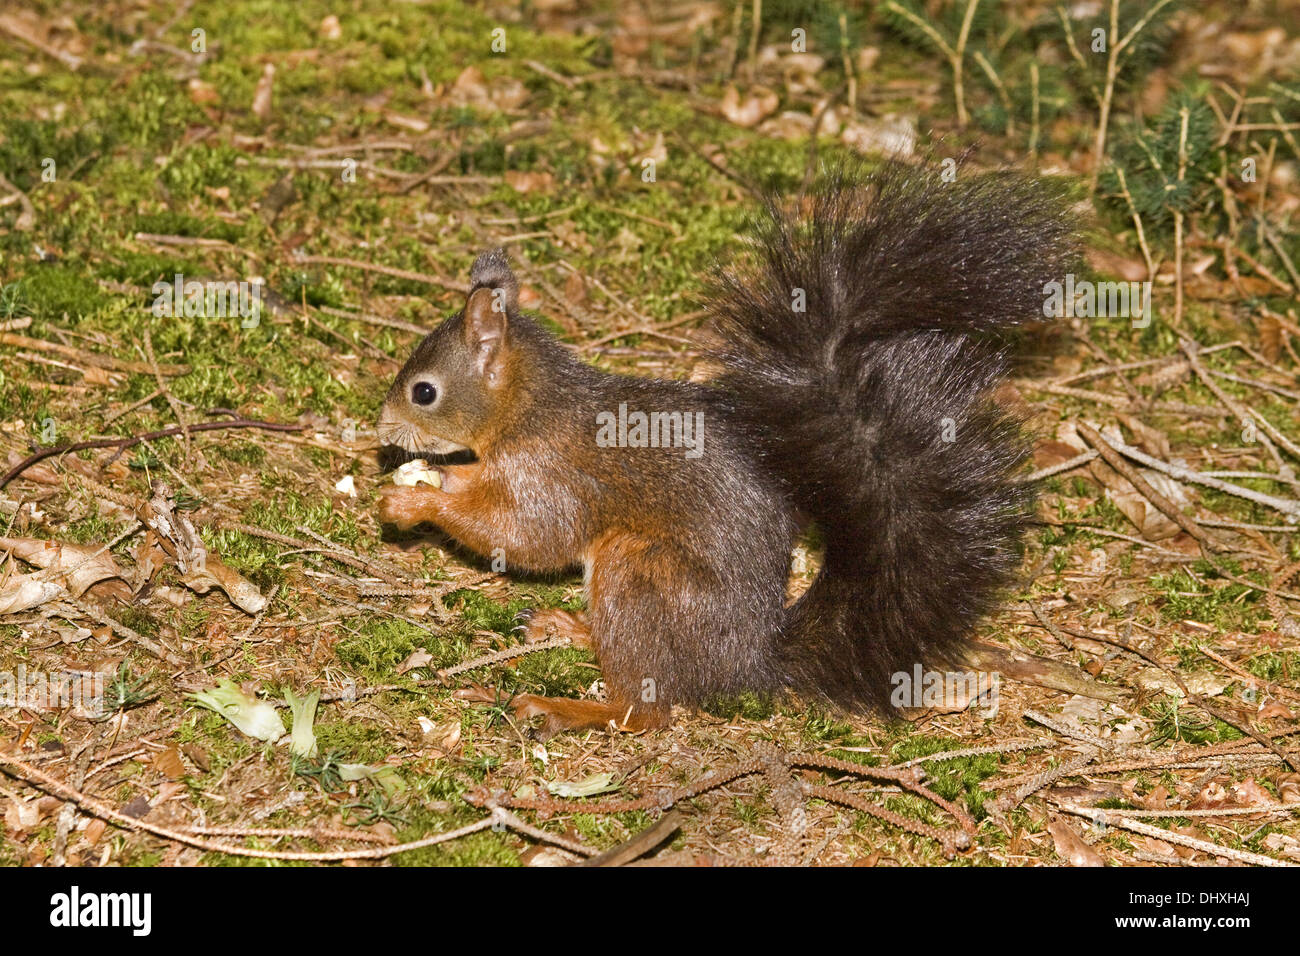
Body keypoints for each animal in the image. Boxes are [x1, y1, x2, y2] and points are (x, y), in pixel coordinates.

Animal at [377, 160, 1076, 738]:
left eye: (423, 391)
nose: (382, 430)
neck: (527, 410)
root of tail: (748, 663)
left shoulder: (553, 475)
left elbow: (529, 536)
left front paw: (415, 504)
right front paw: (435, 479)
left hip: (640, 576)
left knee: (648, 709)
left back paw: (573, 708)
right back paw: (570, 627)